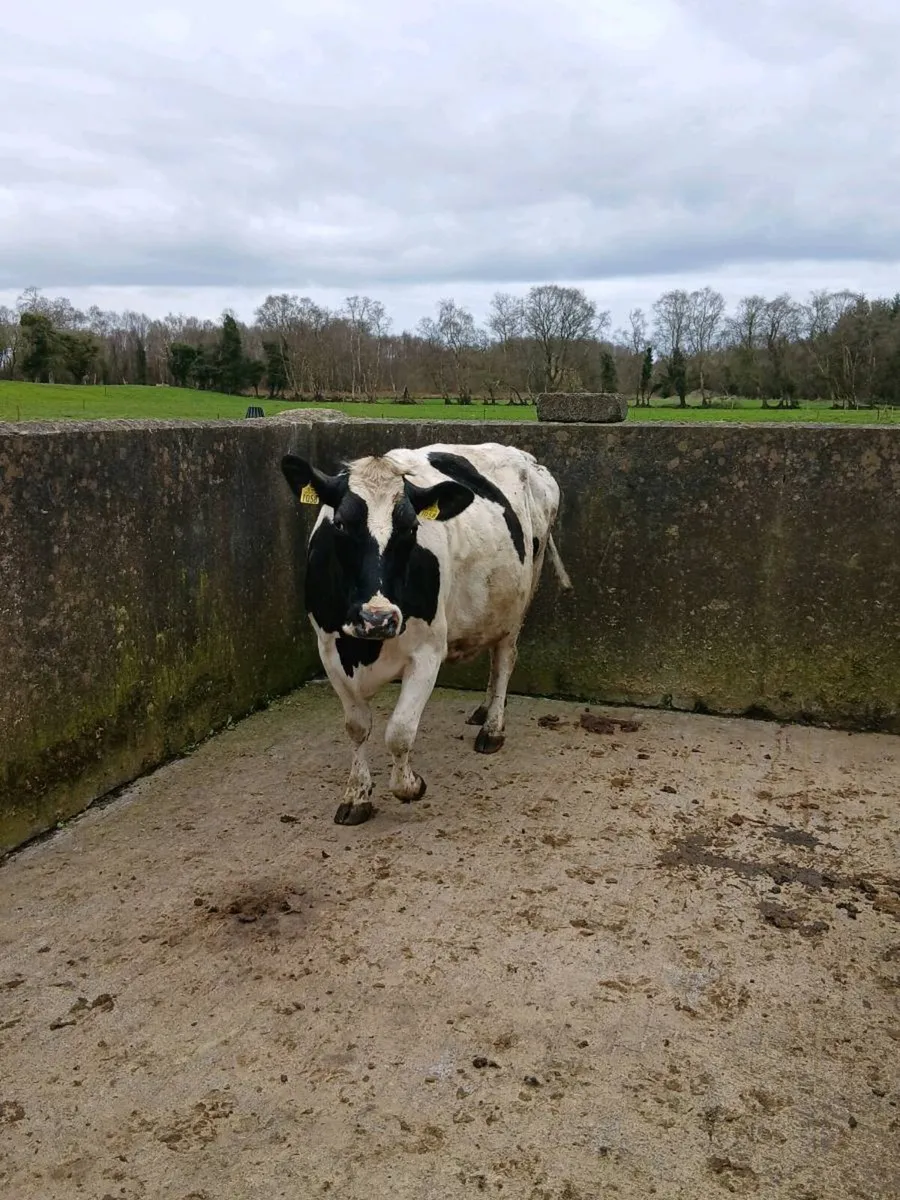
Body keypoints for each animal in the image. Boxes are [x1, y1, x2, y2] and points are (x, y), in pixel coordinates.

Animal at [280, 442, 571, 826]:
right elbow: (357, 726)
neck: (366, 648)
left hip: (518, 602)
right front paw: (356, 796)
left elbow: (400, 731)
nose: (378, 618)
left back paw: (492, 727)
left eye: (410, 527)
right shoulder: (329, 649)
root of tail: (527, 459)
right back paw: (483, 710)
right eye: (340, 523)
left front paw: (410, 786)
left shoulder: (428, 652)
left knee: (504, 660)